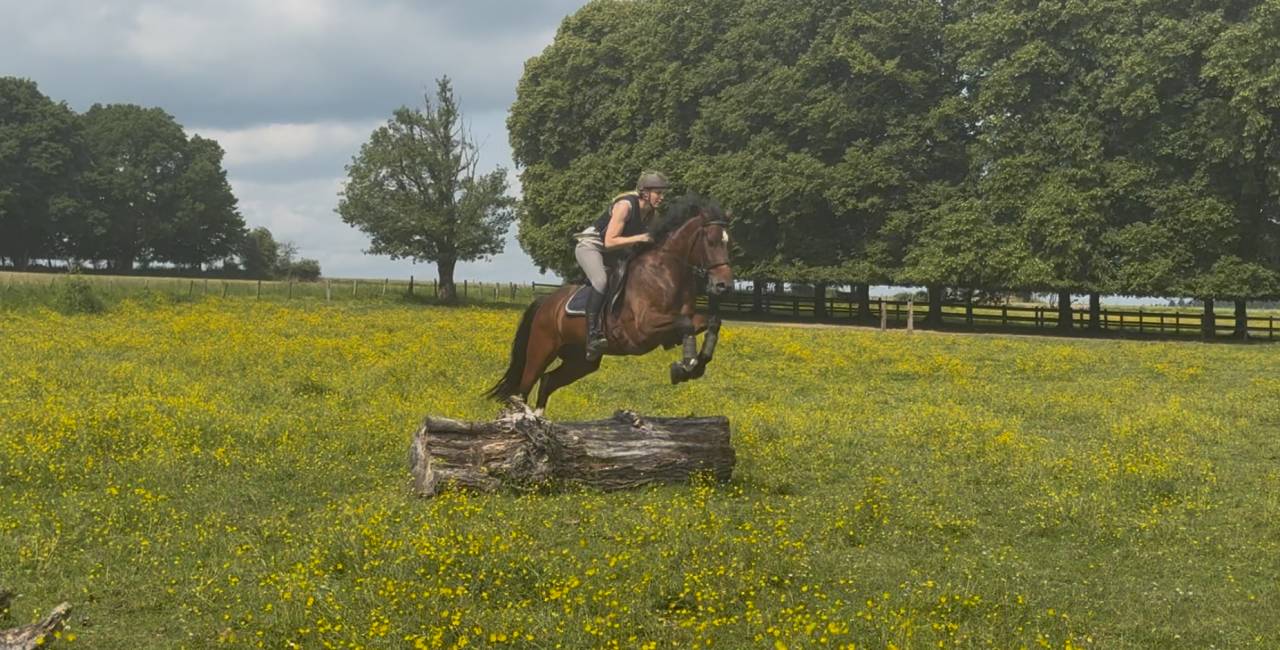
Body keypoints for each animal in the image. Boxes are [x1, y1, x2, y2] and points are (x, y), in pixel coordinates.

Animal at [484, 194, 733, 413]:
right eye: (711, 241)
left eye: (728, 243)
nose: (724, 285)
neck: (667, 271)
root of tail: (546, 302)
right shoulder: (644, 328)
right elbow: (686, 324)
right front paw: (686, 366)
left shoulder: (677, 324)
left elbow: (710, 322)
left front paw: (696, 364)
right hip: (541, 349)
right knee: (523, 388)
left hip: (581, 360)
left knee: (547, 381)